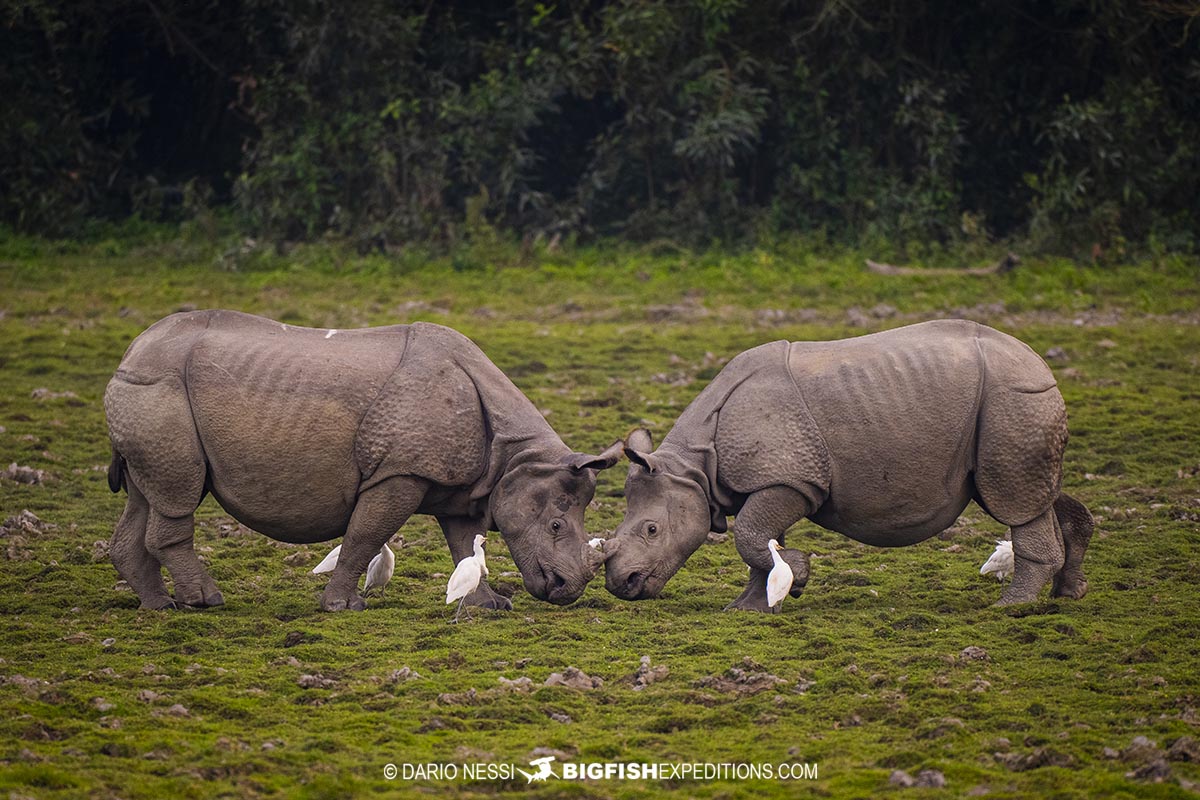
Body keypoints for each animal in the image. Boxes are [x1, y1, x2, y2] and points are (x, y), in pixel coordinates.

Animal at [104, 310, 622, 612]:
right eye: (555, 525)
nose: (568, 589)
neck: (515, 456)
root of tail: (129, 353)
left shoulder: (464, 483)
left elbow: (461, 544)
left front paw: (489, 607)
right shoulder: (399, 471)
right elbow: (364, 536)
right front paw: (341, 607)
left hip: (147, 388)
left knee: (146, 495)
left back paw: (159, 607)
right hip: (158, 387)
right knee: (178, 495)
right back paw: (206, 602)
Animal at [604, 320, 1093, 611]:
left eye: (652, 530)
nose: (620, 584)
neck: (695, 467)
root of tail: (1041, 365)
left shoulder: (793, 479)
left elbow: (750, 538)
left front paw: (797, 577)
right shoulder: (775, 477)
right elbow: (761, 543)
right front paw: (748, 607)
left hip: (1012, 398)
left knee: (1014, 499)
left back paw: (1010, 606)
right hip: (1013, 405)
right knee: (1038, 493)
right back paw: (1067, 595)